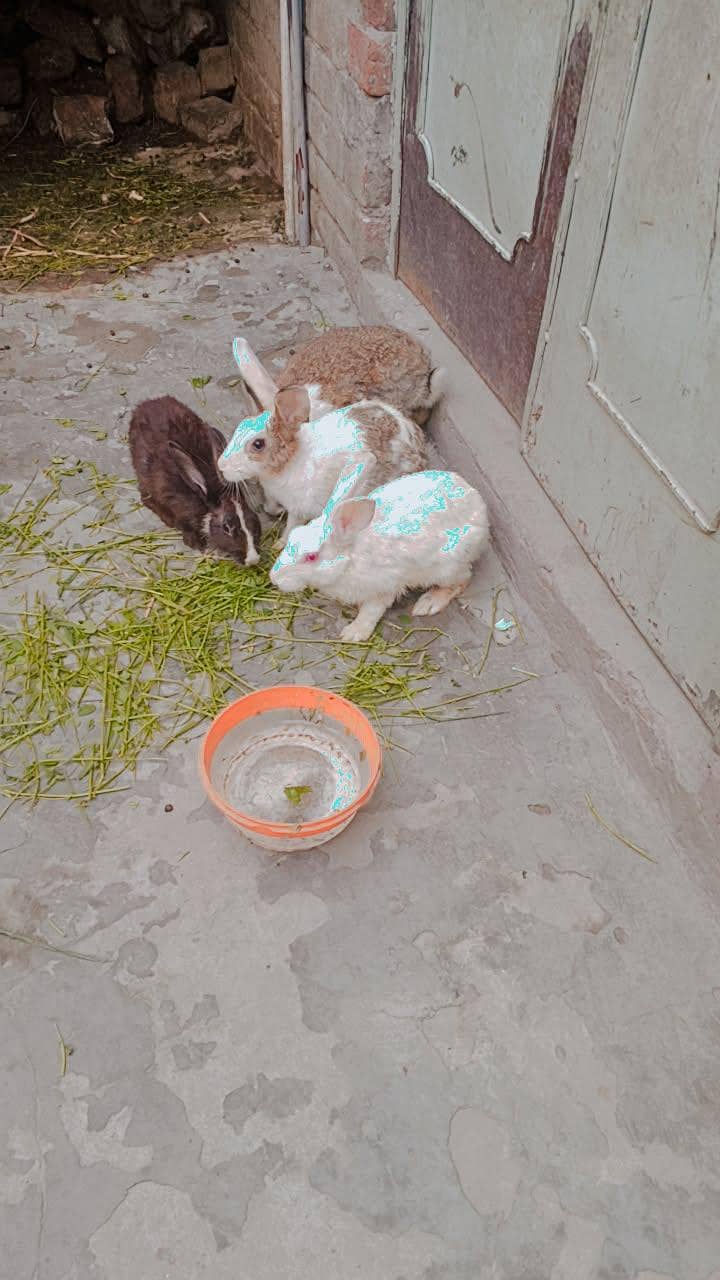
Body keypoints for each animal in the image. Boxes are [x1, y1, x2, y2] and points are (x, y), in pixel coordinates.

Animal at [217, 387, 428, 543]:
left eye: (258, 444)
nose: (221, 466)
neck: (289, 462)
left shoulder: (299, 508)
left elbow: (291, 527)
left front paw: (280, 544)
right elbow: (272, 508)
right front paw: (277, 517)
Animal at [270, 468, 489, 642]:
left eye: (312, 557)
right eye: (293, 535)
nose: (274, 578)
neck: (350, 560)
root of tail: (480, 506)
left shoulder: (383, 587)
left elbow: (372, 611)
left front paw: (353, 633)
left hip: (447, 568)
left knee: (461, 581)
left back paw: (428, 603)